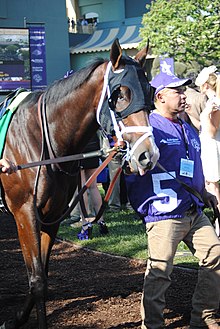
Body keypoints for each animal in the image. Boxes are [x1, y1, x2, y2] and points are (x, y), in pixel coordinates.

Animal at [0, 39, 158, 328]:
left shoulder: (51, 215)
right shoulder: (24, 213)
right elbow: (36, 279)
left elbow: (41, 274)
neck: (42, 138)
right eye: (120, 94)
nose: (147, 155)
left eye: (149, 92)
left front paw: (16, 318)